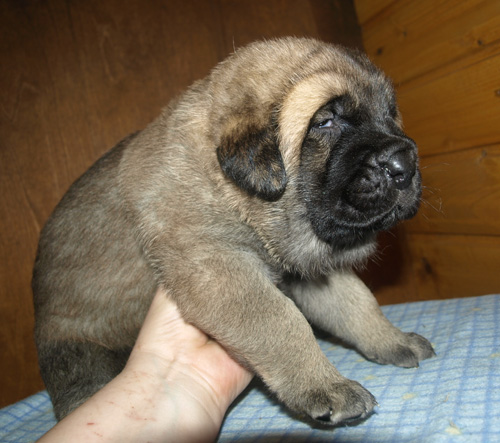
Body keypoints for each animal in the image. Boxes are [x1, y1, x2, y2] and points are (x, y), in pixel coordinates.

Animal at [33, 38, 436, 426]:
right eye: (325, 122)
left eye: (390, 113)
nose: (405, 163)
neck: (231, 190)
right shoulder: (217, 267)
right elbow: (282, 321)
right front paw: (325, 386)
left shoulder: (305, 270)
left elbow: (357, 304)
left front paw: (391, 340)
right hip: (79, 355)